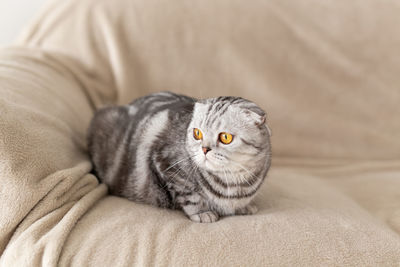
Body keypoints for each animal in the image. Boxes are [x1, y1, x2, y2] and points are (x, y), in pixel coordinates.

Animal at [87, 92, 272, 224]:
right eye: (197, 134)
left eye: (225, 137)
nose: (204, 149)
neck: (233, 182)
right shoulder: (166, 165)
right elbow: (190, 195)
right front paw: (203, 213)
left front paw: (244, 207)